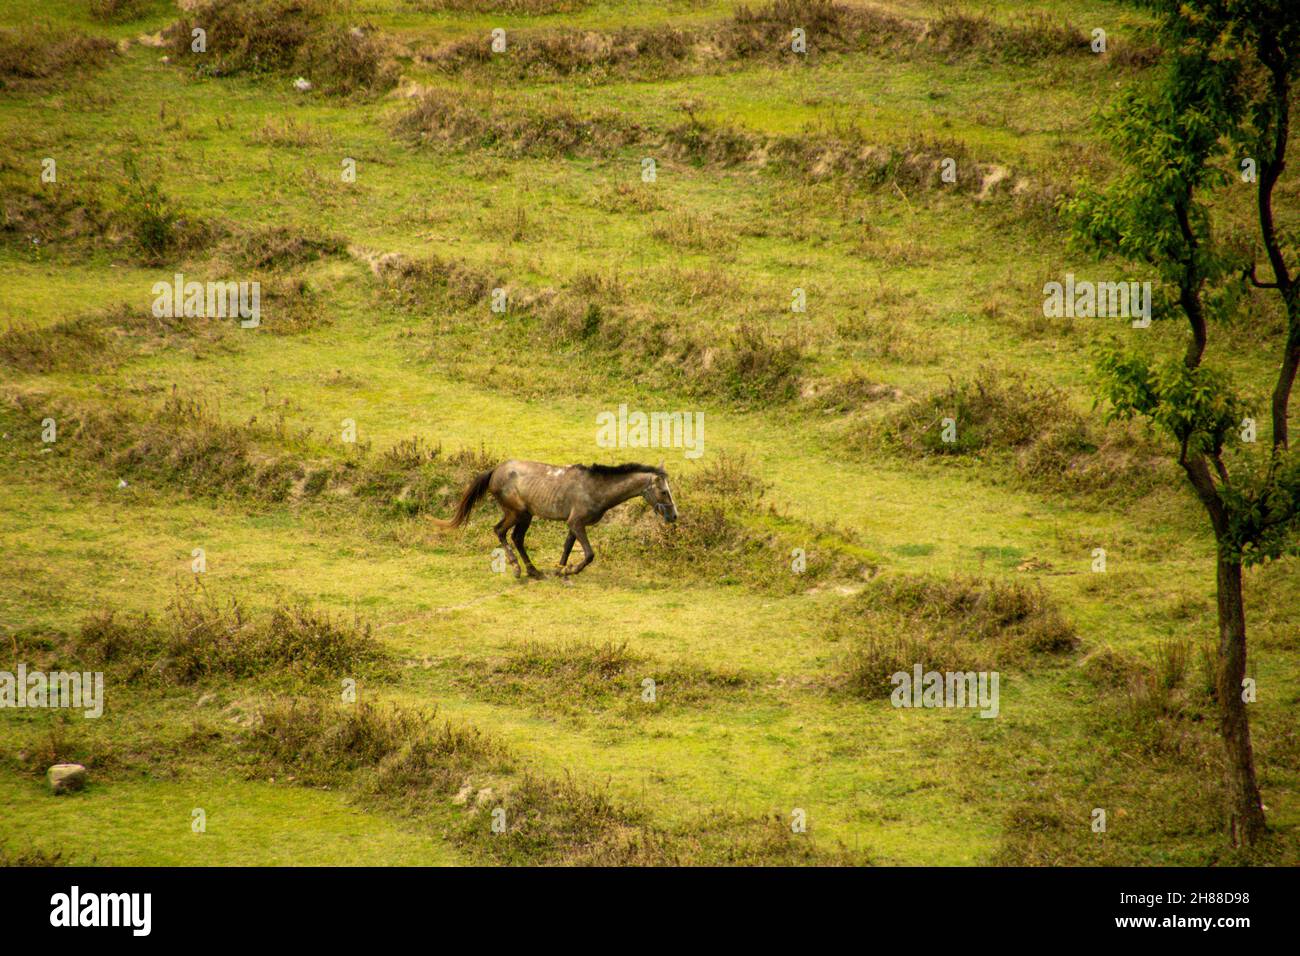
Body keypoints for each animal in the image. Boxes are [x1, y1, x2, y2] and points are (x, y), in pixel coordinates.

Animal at [434, 460, 678, 577]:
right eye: (664, 491)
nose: (674, 516)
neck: (595, 488)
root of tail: (495, 470)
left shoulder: (574, 525)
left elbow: (567, 547)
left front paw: (559, 569)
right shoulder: (576, 522)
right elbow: (589, 554)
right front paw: (570, 570)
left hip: (526, 515)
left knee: (517, 538)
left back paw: (534, 571)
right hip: (516, 513)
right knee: (500, 531)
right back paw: (516, 568)